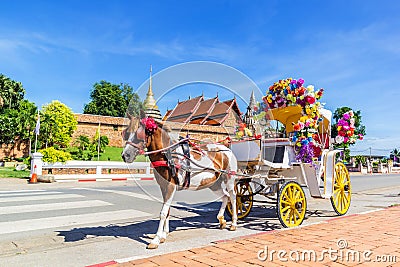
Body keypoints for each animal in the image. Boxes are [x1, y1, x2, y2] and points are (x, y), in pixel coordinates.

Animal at [120, 112, 236, 250]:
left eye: (140, 134)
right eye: (126, 133)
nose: (125, 155)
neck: (168, 155)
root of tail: (226, 149)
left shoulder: (171, 185)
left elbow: (163, 212)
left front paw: (156, 239)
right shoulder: (164, 186)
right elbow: (167, 210)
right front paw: (164, 235)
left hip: (229, 179)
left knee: (233, 197)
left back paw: (234, 223)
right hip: (214, 183)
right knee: (225, 196)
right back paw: (221, 219)